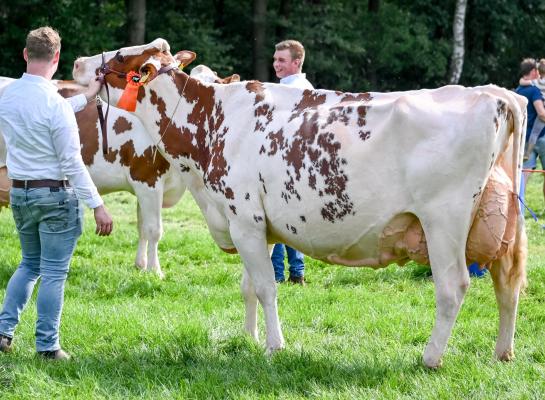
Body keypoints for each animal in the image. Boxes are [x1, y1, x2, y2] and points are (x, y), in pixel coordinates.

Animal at [72, 39, 528, 368]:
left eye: (121, 55)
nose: (76, 63)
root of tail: (491, 93)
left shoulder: (244, 219)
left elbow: (266, 287)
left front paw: (275, 347)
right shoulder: (254, 223)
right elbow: (248, 287)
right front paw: (249, 338)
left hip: (443, 221)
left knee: (453, 287)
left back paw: (430, 358)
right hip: (505, 225)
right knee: (509, 285)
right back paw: (502, 353)